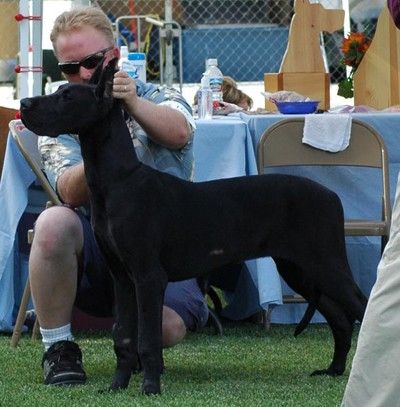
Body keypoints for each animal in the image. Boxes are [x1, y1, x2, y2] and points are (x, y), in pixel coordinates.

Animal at [20, 59, 367, 395]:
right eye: (59, 90)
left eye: (67, 96)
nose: (23, 103)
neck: (119, 180)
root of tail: (331, 196)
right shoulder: (123, 278)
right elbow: (124, 338)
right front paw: (117, 386)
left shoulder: (148, 277)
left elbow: (148, 339)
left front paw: (150, 387)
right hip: (299, 270)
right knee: (340, 319)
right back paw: (334, 370)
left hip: (327, 264)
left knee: (361, 307)